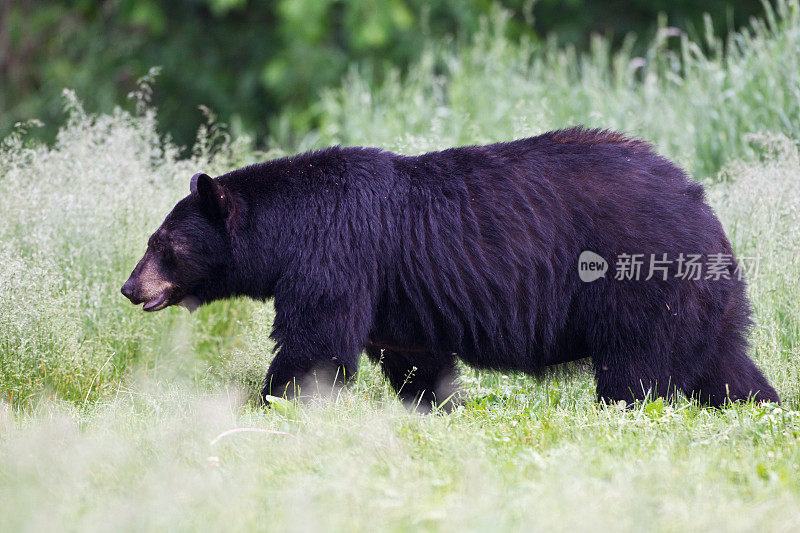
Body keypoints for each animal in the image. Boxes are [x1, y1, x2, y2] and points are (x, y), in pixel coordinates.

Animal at [122, 128, 780, 408]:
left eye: (162, 243)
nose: (129, 287)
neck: (290, 228)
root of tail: (700, 201)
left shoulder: (338, 255)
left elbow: (315, 342)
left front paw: (270, 403)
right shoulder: (395, 296)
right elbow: (412, 354)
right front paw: (440, 404)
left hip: (637, 280)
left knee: (637, 366)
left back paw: (623, 409)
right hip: (698, 295)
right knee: (721, 360)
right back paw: (758, 404)